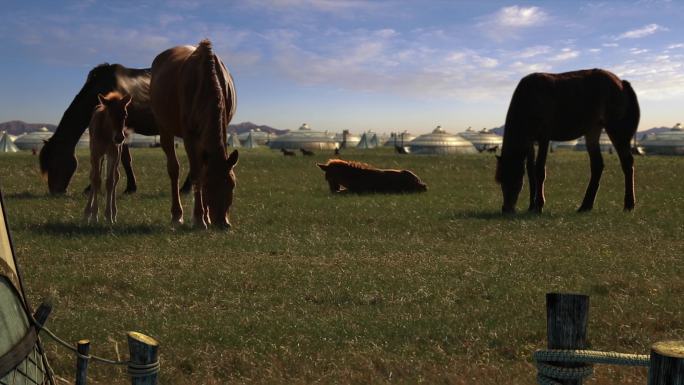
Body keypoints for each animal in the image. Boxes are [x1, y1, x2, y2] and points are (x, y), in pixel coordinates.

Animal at [83, 92, 132, 222]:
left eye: (125, 114)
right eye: (110, 114)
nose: (119, 138)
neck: (106, 133)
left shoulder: (113, 154)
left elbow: (110, 181)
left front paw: (109, 216)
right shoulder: (96, 154)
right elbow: (96, 180)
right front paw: (94, 216)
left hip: (116, 155)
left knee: (116, 177)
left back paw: (114, 213)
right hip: (95, 155)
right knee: (93, 175)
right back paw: (87, 213)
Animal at [150, 39, 238, 228]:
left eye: (232, 185)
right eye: (208, 185)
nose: (223, 223)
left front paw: (205, 216)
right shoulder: (190, 136)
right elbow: (197, 173)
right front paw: (199, 218)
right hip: (165, 129)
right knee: (174, 169)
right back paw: (177, 215)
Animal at [494, 69, 640, 213]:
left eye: (515, 180)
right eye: (500, 180)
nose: (506, 209)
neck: (530, 99)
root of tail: (621, 83)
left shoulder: (544, 138)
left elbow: (539, 170)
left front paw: (539, 205)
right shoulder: (530, 142)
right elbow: (531, 171)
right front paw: (531, 206)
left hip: (616, 130)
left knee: (627, 162)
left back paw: (629, 204)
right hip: (592, 131)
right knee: (597, 165)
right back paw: (586, 205)